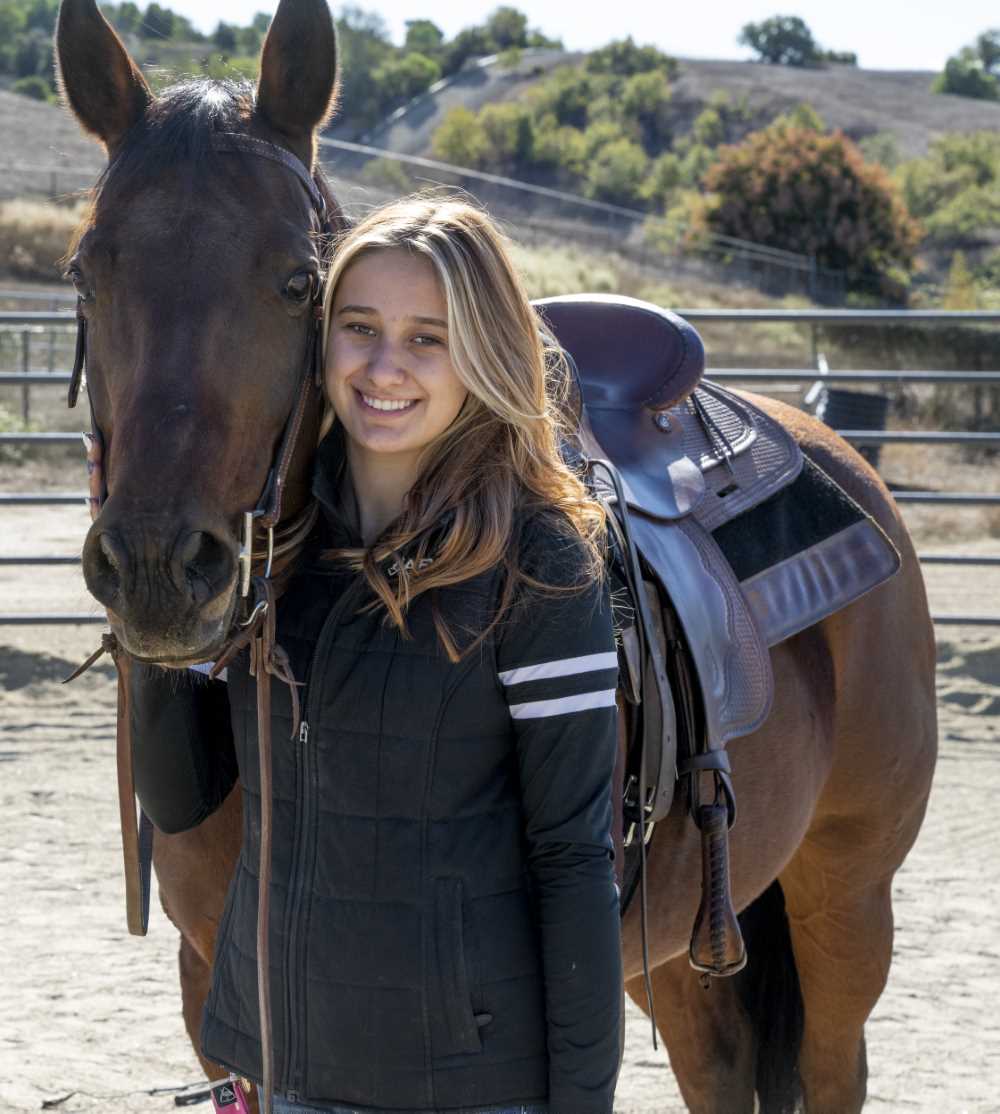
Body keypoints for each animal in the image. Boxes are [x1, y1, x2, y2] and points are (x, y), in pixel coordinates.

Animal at [58, 4, 939, 1109]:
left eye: (300, 282)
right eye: (87, 273)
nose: (158, 567)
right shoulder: (216, 1002)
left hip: (845, 902)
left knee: (830, 1064)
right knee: (720, 1063)